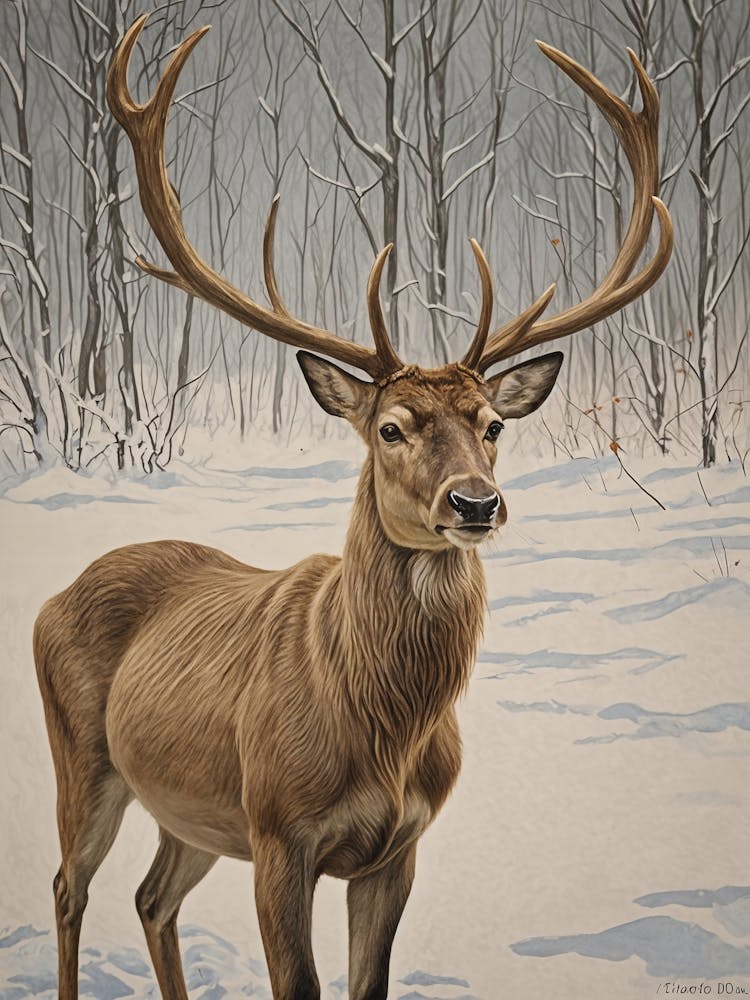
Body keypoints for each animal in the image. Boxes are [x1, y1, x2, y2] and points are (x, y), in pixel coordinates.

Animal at [33, 14, 672, 1000]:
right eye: (392, 427)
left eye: (493, 424)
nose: (476, 503)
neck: (382, 724)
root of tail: (55, 594)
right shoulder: (278, 831)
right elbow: (298, 983)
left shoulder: (396, 848)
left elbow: (369, 982)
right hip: (85, 755)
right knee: (70, 887)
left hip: (189, 810)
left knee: (150, 898)